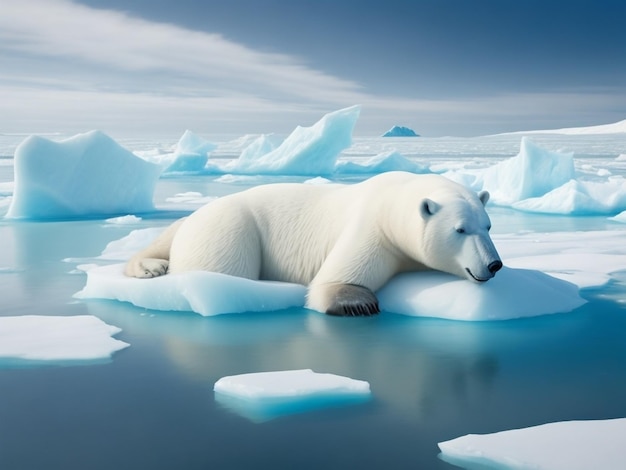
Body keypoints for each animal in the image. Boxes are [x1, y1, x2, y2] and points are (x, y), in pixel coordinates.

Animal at [124, 173, 500, 316]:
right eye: (460, 230)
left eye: (488, 225)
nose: (494, 264)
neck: (394, 198)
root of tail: (193, 216)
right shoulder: (373, 230)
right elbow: (335, 279)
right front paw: (359, 304)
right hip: (228, 227)